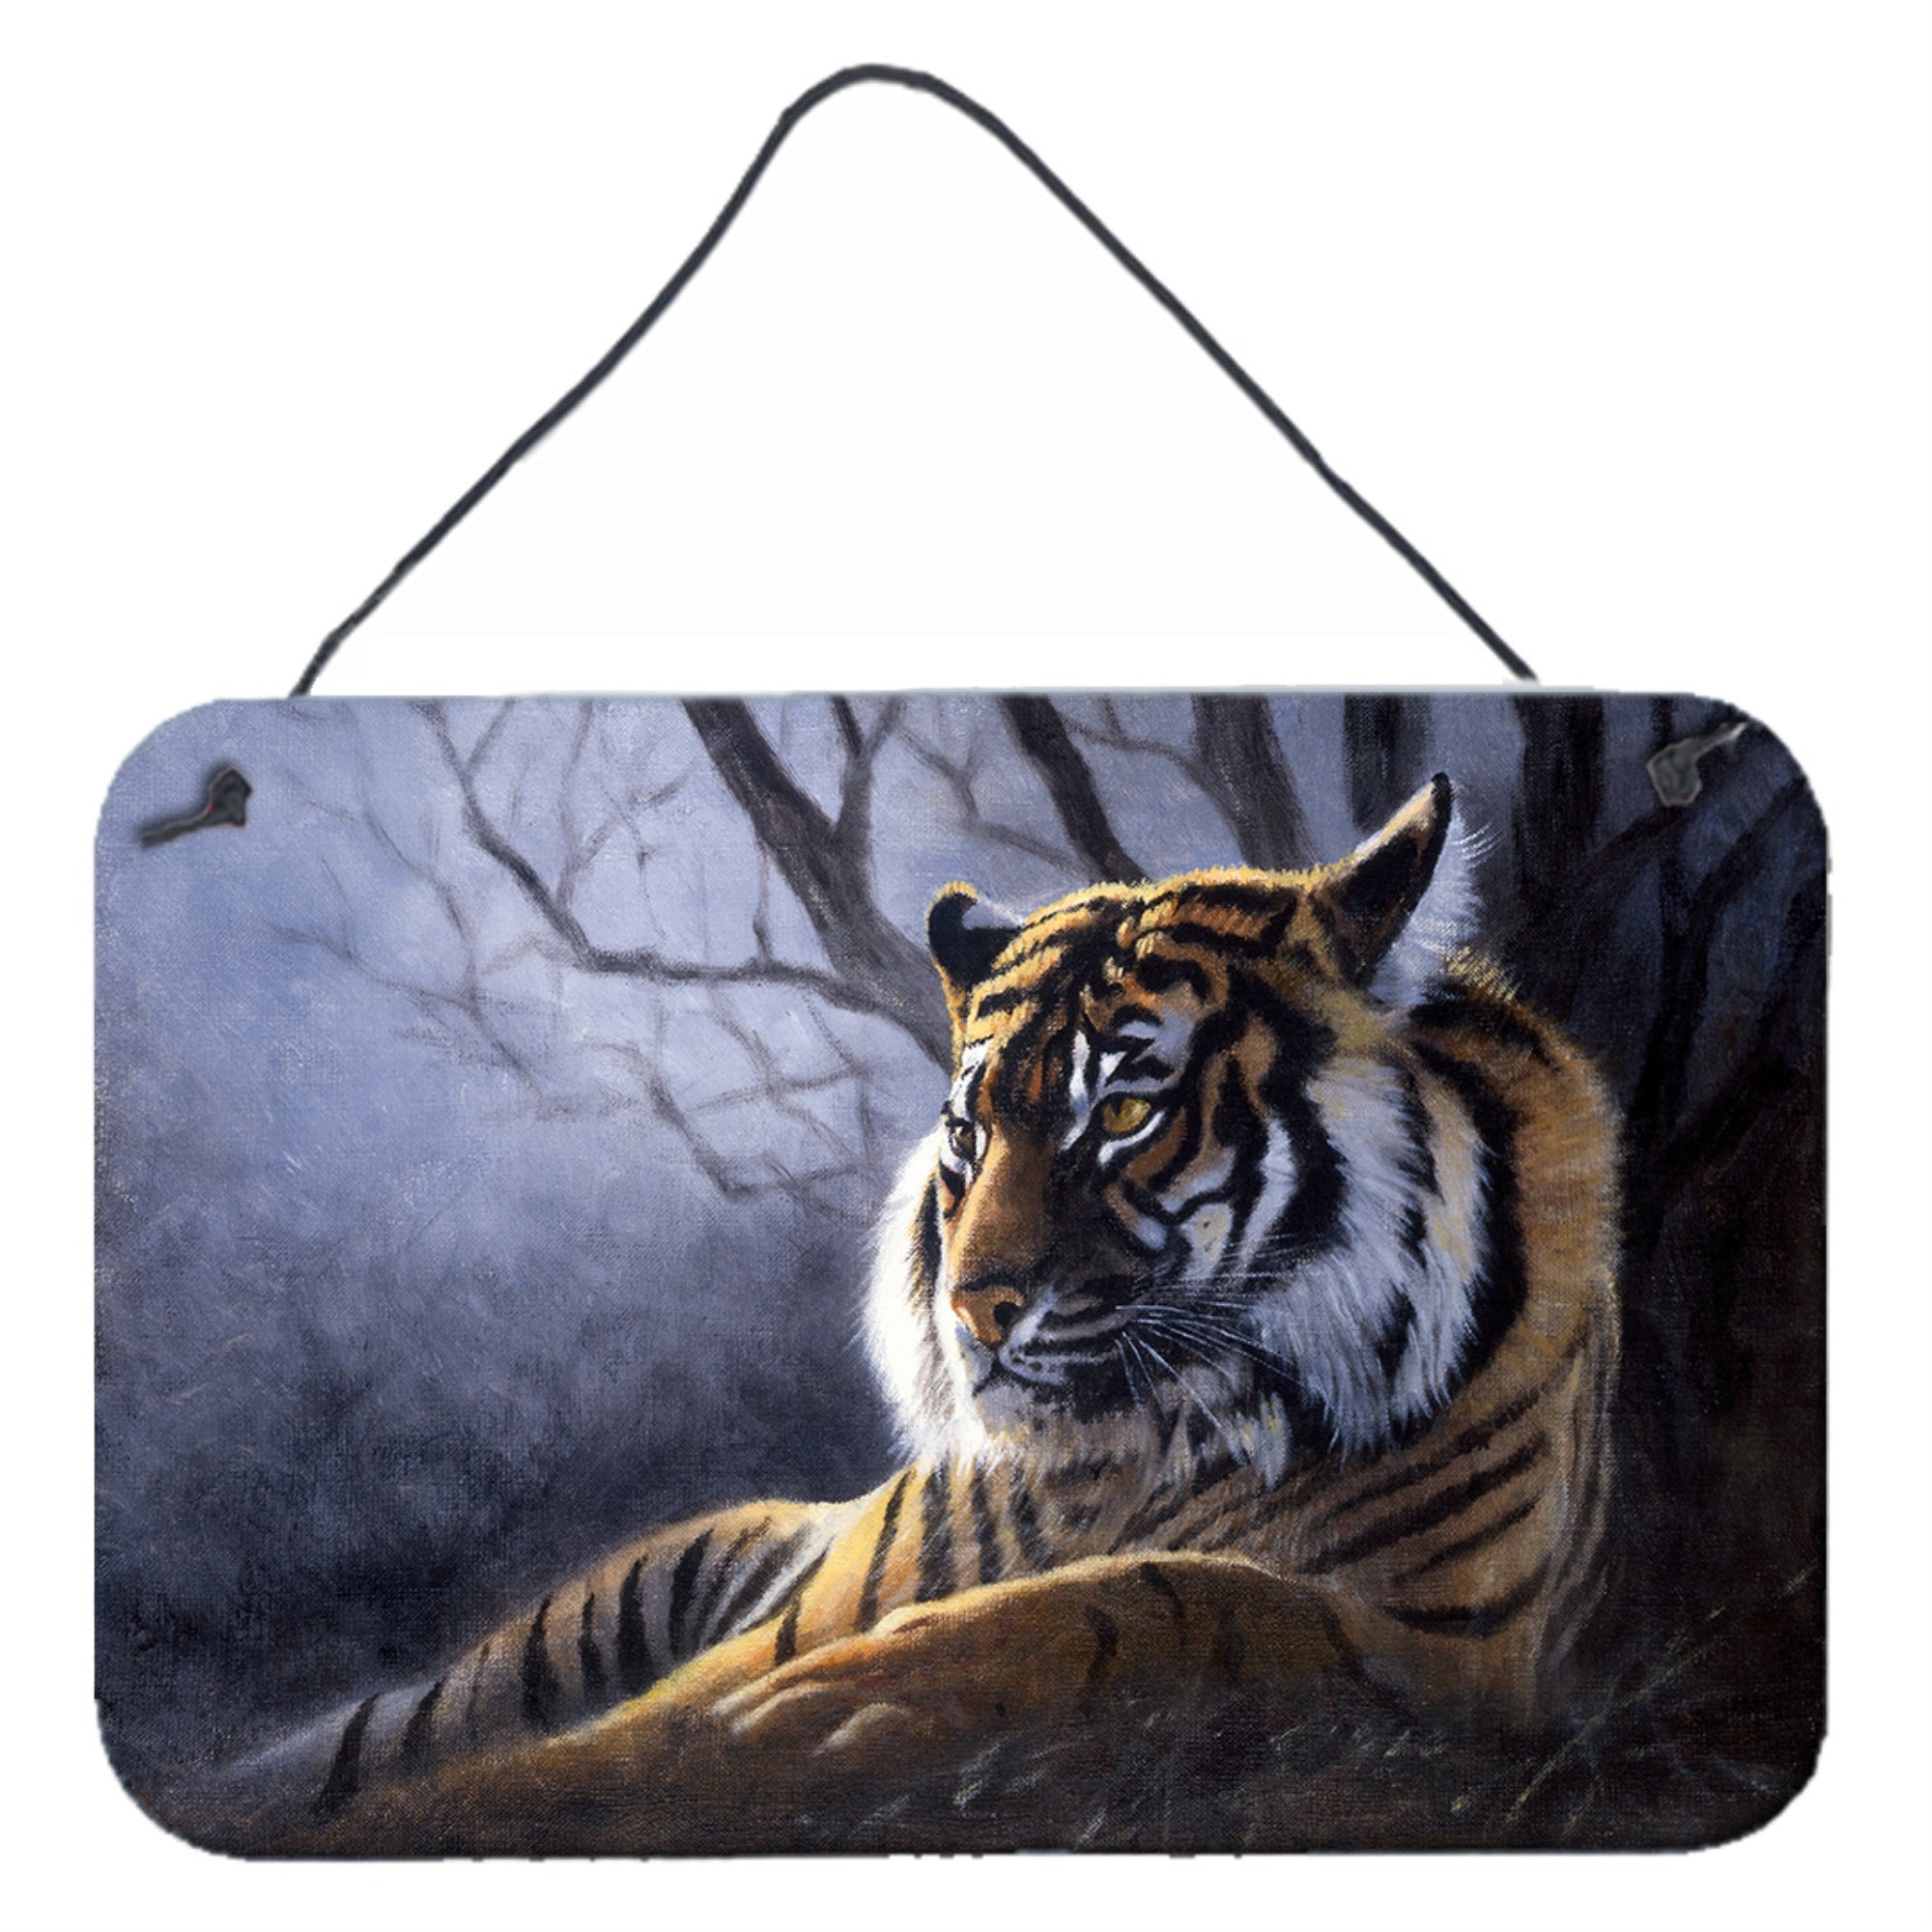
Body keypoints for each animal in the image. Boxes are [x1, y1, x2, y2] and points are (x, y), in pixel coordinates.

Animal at [184, 774, 1618, 1854]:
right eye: (971, 1133)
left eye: (1124, 1110)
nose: (978, 1309)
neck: (1141, 1450)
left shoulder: (1457, 1651)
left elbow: (1180, 1604)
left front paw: (827, 1716)